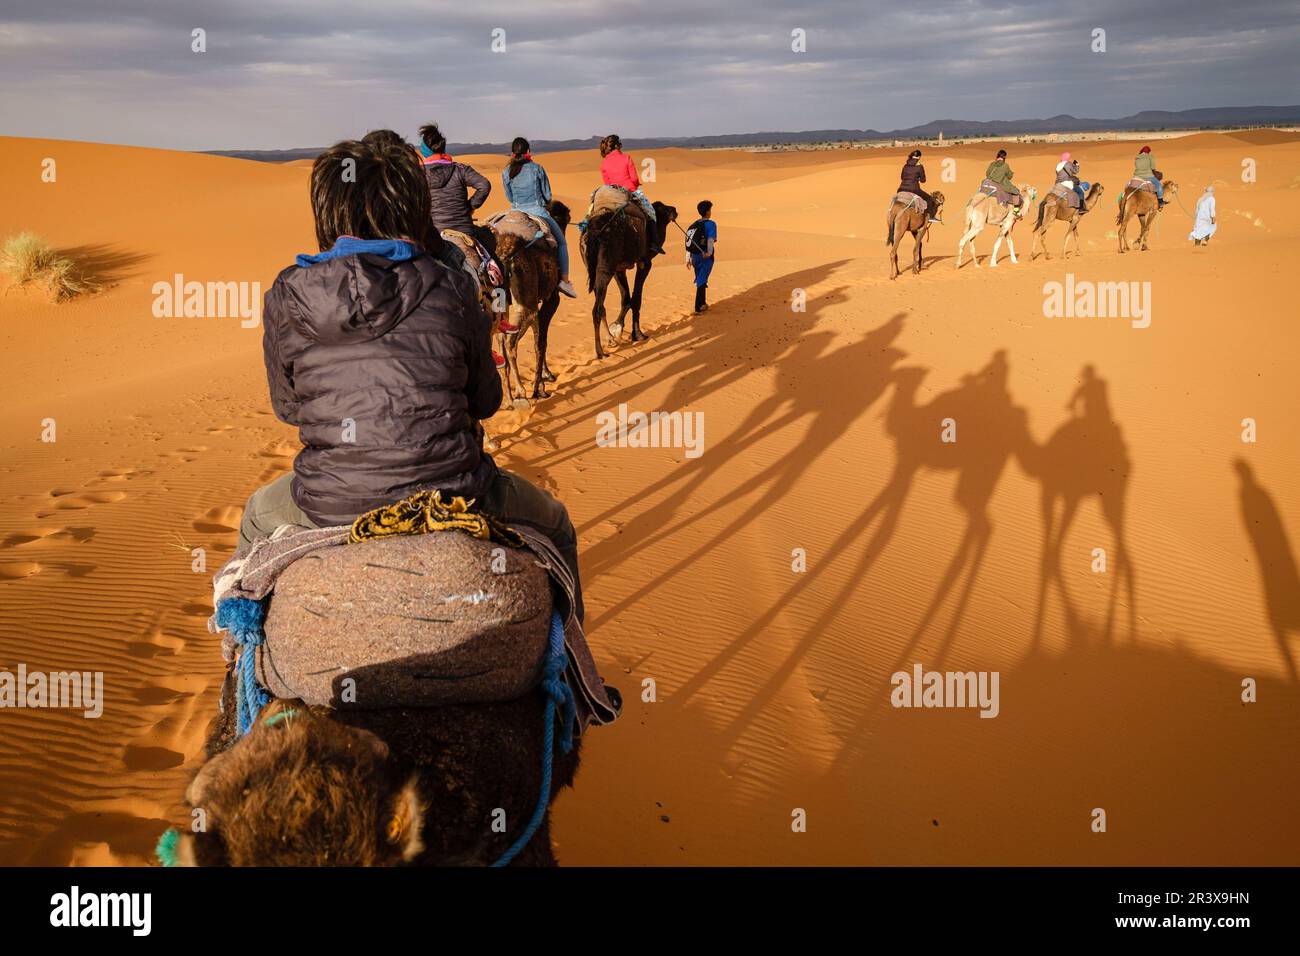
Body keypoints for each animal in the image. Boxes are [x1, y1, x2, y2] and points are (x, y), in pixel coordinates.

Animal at [488, 201, 569, 403]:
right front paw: (540, 387)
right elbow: (541, 342)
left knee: (500, 343)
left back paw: (510, 398)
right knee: (511, 343)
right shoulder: (551, 300)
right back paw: (521, 391)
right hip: (526, 307)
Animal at [582, 197, 676, 358]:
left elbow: (626, 298)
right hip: (605, 269)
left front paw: (617, 330)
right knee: (597, 309)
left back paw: (609, 341)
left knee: (601, 306)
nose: (675, 210)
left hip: (595, 269)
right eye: (664, 208)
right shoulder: (645, 262)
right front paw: (637, 334)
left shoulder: (619, 268)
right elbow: (636, 298)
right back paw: (600, 352)